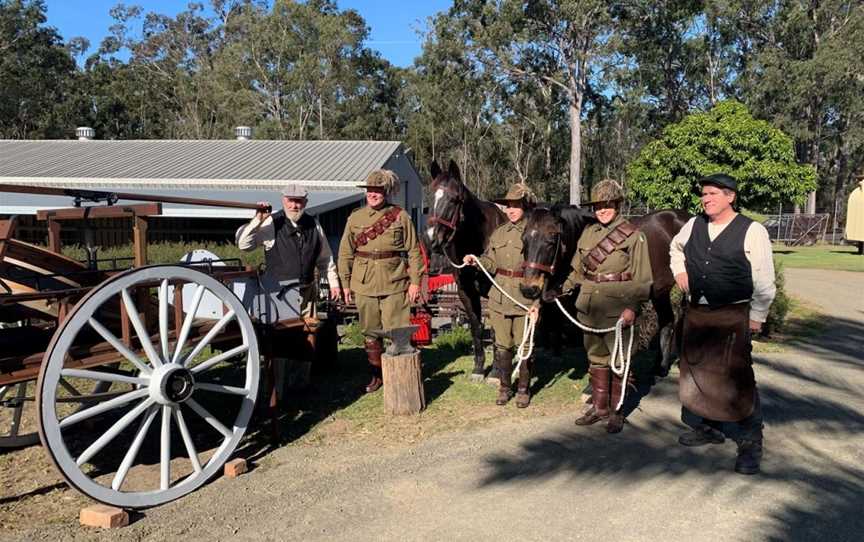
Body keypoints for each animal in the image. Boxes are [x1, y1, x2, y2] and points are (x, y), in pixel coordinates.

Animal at [426, 162, 506, 380]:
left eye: (454, 199)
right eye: (429, 197)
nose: (431, 239)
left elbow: (495, 331)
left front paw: (496, 373)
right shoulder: (466, 292)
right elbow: (476, 327)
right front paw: (479, 368)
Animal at [520, 206, 688, 376]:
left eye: (552, 240)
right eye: (524, 239)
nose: (528, 288)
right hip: (660, 293)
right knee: (667, 321)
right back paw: (660, 367)